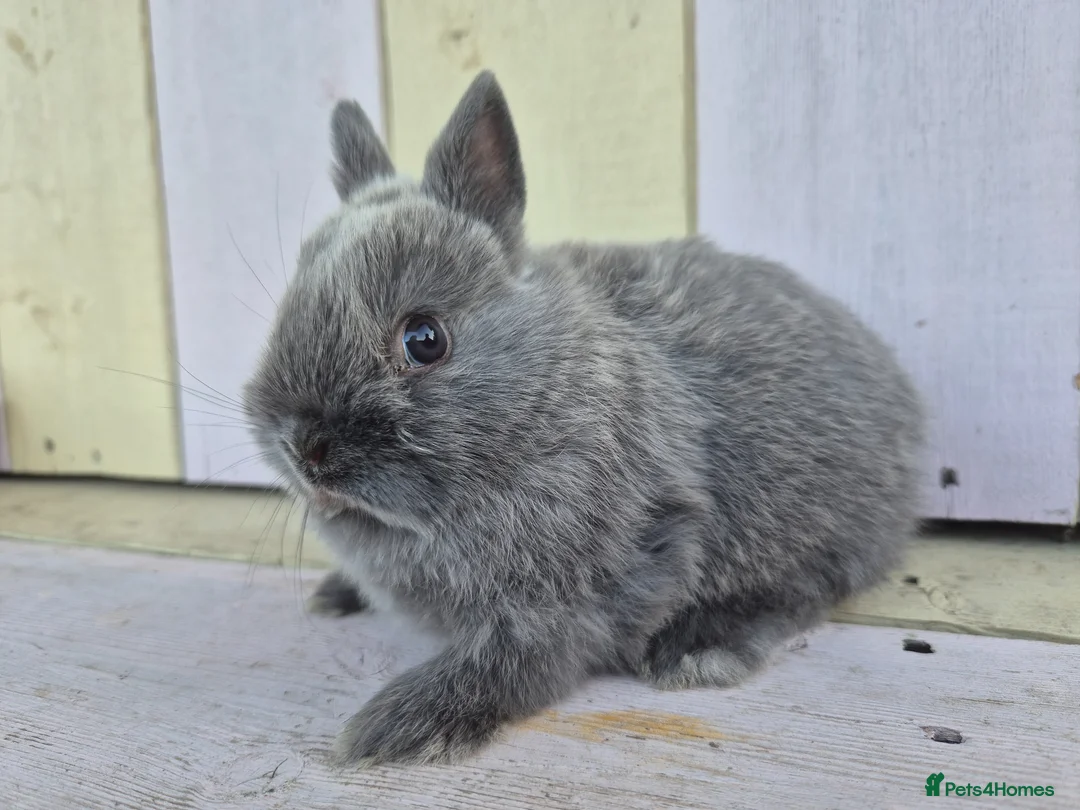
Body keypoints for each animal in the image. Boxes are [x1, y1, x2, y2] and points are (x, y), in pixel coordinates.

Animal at [242, 70, 925, 768]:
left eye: (425, 339)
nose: (305, 449)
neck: (545, 398)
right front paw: (341, 597)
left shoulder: (590, 585)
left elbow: (521, 659)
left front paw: (391, 728)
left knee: (809, 586)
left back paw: (699, 649)